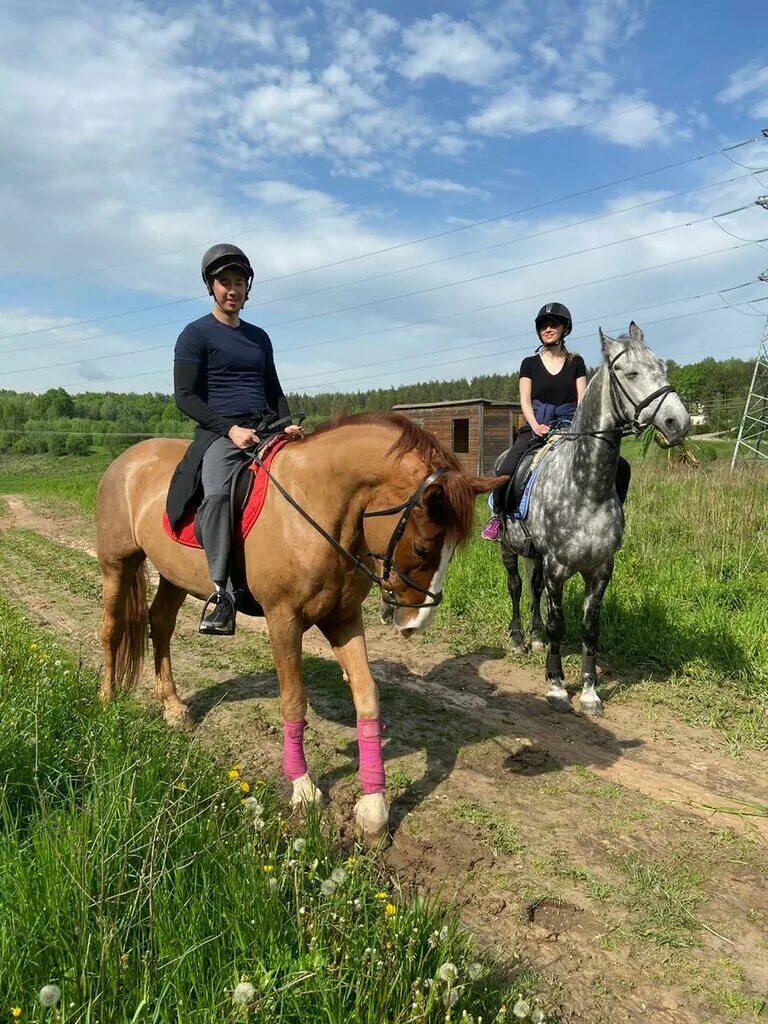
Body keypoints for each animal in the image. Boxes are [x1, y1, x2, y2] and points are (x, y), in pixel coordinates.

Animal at [96, 411, 505, 843]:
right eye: (424, 548)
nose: (415, 623)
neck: (316, 507)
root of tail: (127, 459)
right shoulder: (284, 621)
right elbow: (293, 701)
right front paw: (303, 787)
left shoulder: (343, 618)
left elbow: (367, 696)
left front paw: (373, 808)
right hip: (116, 564)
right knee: (111, 628)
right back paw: (106, 699)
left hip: (173, 575)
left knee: (160, 624)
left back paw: (173, 707)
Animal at [505, 323, 692, 716]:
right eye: (630, 373)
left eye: (663, 368)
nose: (678, 423)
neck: (585, 487)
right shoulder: (558, 567)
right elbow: (559, 624)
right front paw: (557, 686)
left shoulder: (601, 570)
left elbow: (590, 629)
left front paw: (590, 693)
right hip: (508, 547)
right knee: (515, 587)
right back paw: (517, 639)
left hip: (535, 556)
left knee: (533, 589)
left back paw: (534, 637)